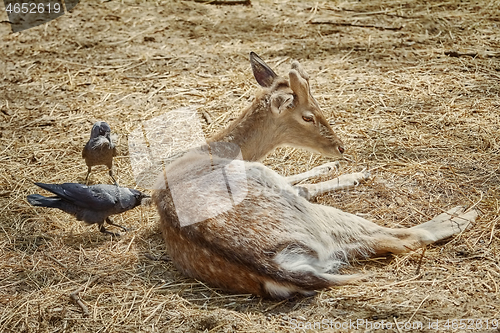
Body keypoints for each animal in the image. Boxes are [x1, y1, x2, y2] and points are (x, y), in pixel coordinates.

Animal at [152, 52, 476, 298]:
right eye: (307, 116)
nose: (340, 147)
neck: (215, 149)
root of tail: (276, 266)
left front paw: (342, 170)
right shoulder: (266, 175)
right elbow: (303, 186)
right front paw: (355, 173)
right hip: (308, 216)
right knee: (402, 238)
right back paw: (459, 215)